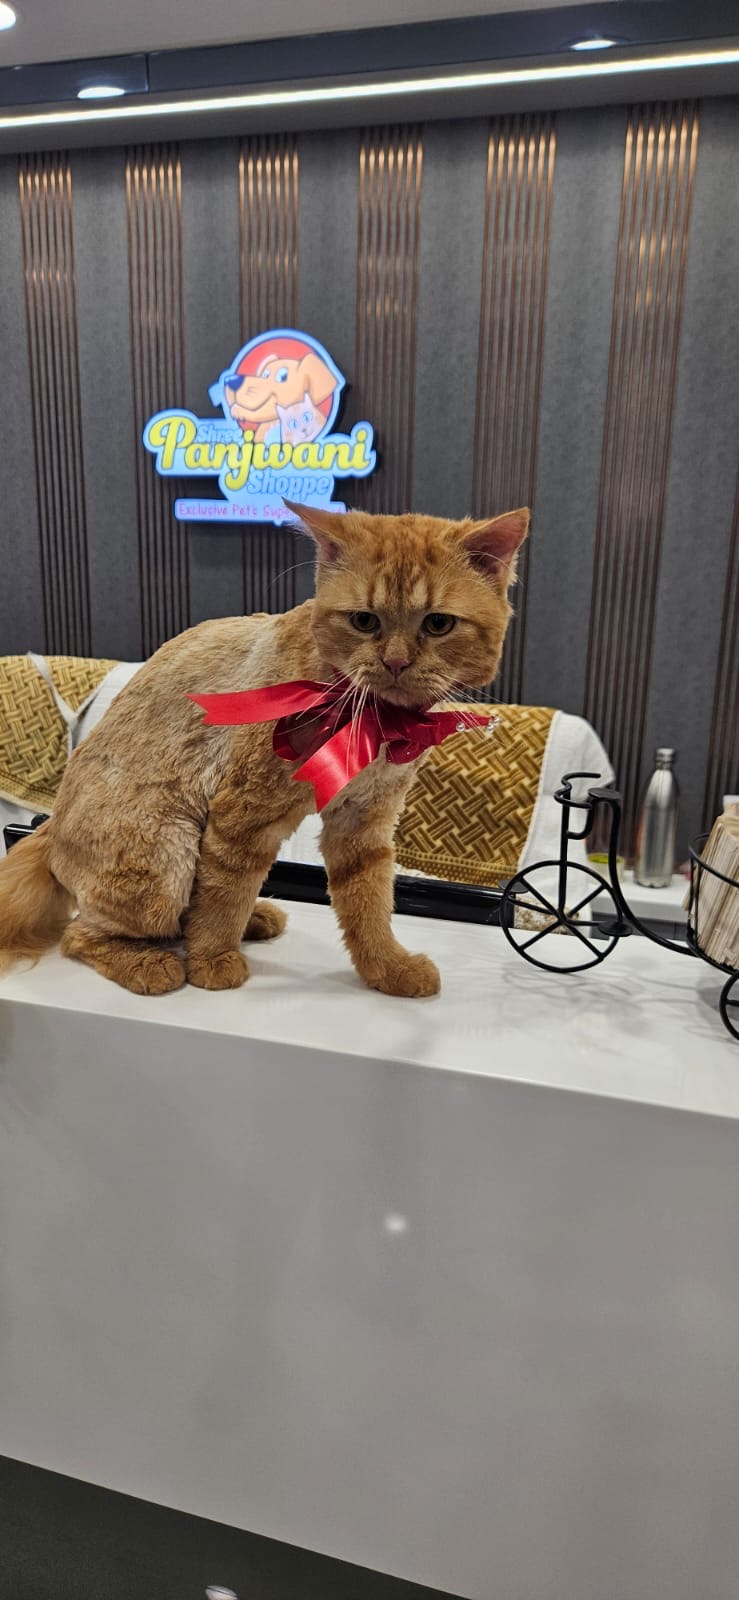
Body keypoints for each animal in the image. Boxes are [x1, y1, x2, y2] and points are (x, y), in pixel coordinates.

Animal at [0, 501, 529, 999]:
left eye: (438, 624)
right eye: (364, 621)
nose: (395, 662)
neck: (371, 716)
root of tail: (48, 828)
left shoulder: (363, 825)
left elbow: (369, 907)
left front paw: (386, 969)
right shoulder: (243, 816)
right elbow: (224, 895)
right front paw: (212, 961)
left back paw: (246, 922)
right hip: (165, 858)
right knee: (81, 934)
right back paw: (152, 961)